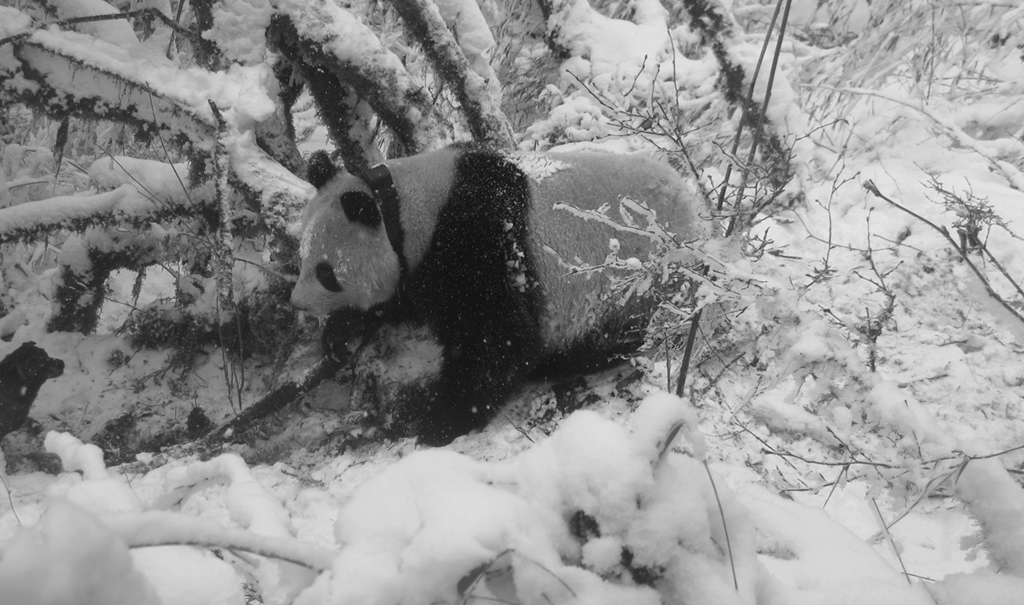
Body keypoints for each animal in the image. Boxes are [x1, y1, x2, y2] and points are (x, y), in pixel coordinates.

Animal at [288, 143, 704, 444]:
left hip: (636, 281)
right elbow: (399, 300)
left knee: (610, 334)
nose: (298, 302)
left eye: (326, 273)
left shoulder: (476, 241)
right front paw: (339, 333)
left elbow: (497, 338)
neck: (405, 209)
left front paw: (442, 421)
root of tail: (693, 209)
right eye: (302, 257)